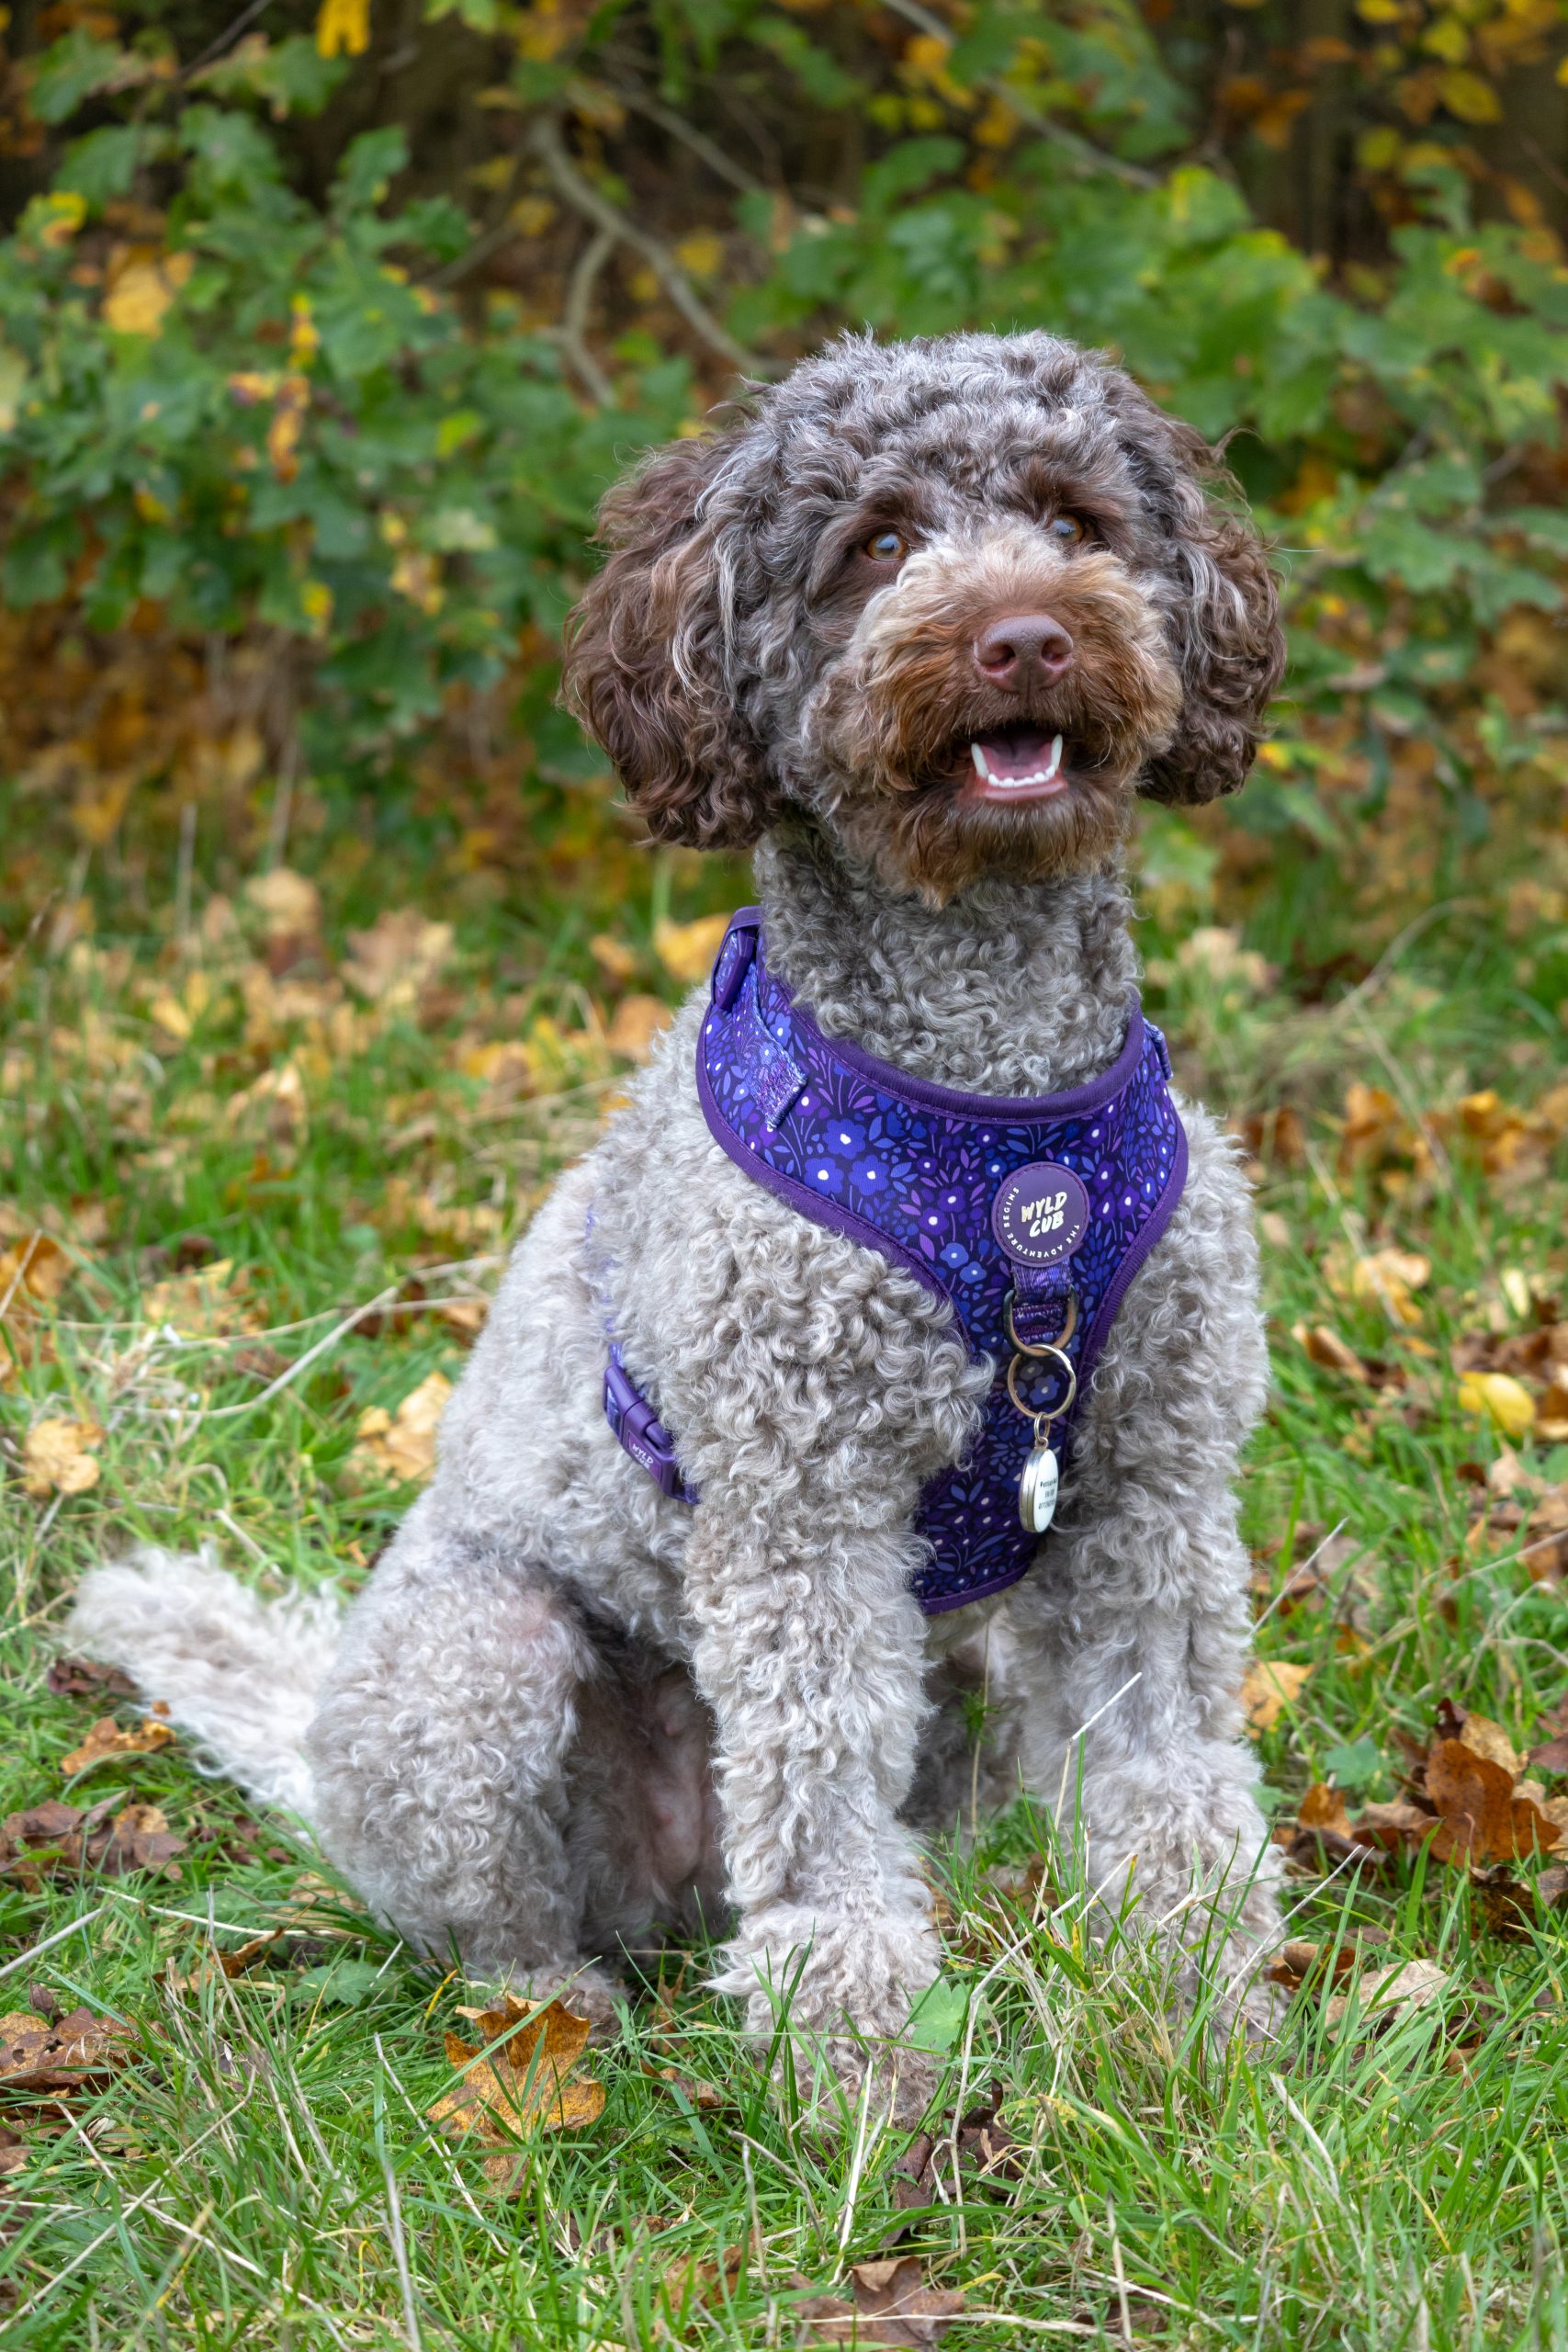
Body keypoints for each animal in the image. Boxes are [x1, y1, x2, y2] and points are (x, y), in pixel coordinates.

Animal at [76, 331, 1288, 2117]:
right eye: (875, 542)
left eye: (1075, 520)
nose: (1024, 631)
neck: (1002, 1137)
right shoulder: (801, 1511)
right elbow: (822, 1818)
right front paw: (858, 2072)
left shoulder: (1152, 1487)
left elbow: (1168, 1775)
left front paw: (1204, 2019)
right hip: (480, 1670)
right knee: (501, 1928)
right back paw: (550, 2029)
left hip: (972, 1671)